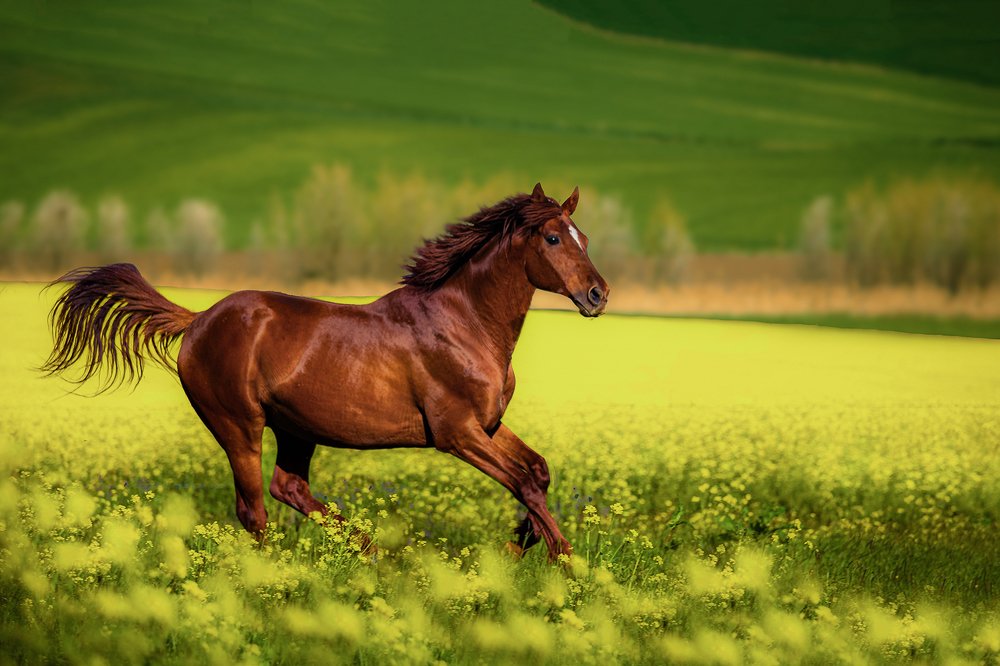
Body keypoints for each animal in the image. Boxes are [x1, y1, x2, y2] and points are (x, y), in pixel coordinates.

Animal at [42, 183, 609, 561]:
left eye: (583, 236)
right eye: (553, 239)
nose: (598, 295)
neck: (464, 323)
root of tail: (198, 319)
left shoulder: (488, 424)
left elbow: (537, 471)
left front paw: (521, 544)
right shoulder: (456, 433)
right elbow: (524, 483)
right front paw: (564, 559)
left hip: (297, 429)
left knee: (287, 488)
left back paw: (371, 550)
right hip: (238, 426)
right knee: (253, 509)